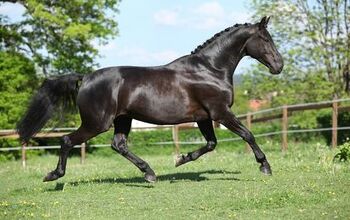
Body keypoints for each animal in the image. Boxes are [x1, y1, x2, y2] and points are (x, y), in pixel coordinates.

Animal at [17, 16, 284, 182]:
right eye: (266, 39)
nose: (279, 66)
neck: (210, 69)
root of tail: (86, 77)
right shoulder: (221, 112)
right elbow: (248, 134)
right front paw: (265, 166)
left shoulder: (204, 117)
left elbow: (211, 144)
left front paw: (181, 159)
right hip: (97, 123)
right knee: (66, 140)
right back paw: (53, 176)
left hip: (122, 119)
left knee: (118, 145)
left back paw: (150, 173)